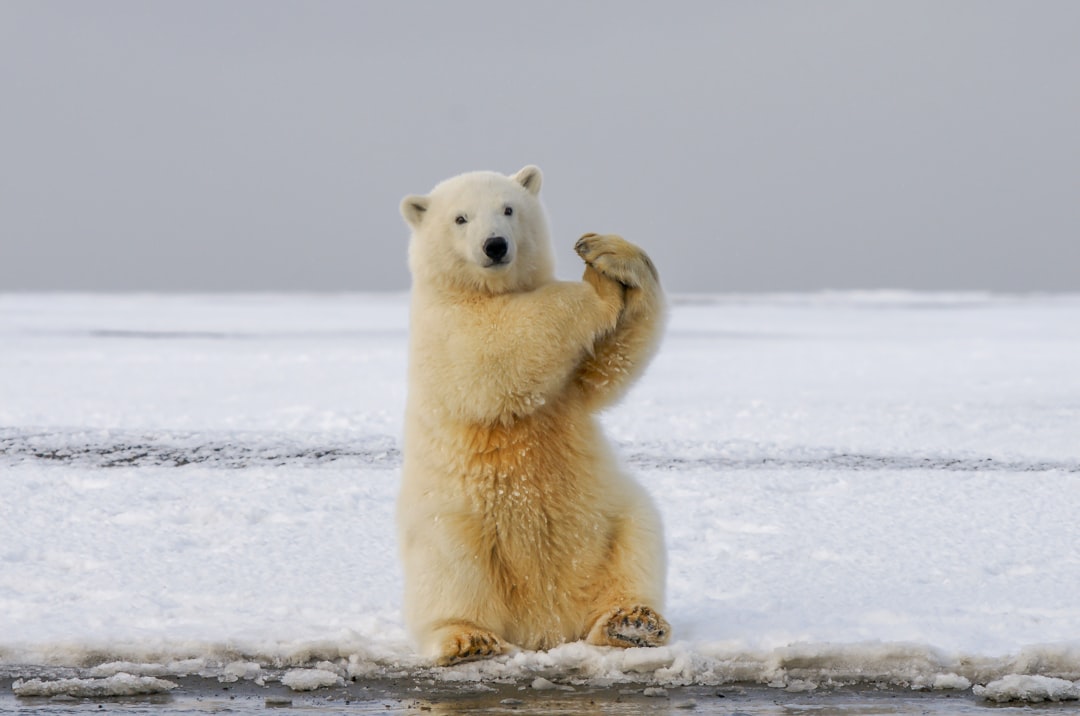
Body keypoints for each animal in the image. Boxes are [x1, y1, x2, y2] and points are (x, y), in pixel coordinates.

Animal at [397, 165, 665, 665]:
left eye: (508, 209)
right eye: (460, 218)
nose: (495, 245)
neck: (484, 290)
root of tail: (545, 625)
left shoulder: (571, 387)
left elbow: (608, 366)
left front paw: (607, 254)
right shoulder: (445, 325)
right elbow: (498, 346)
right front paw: (597, 288)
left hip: (609, 517)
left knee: (637, 541)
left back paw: (632, 622)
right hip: (452, 522)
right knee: (452, 571)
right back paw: (469, 638)